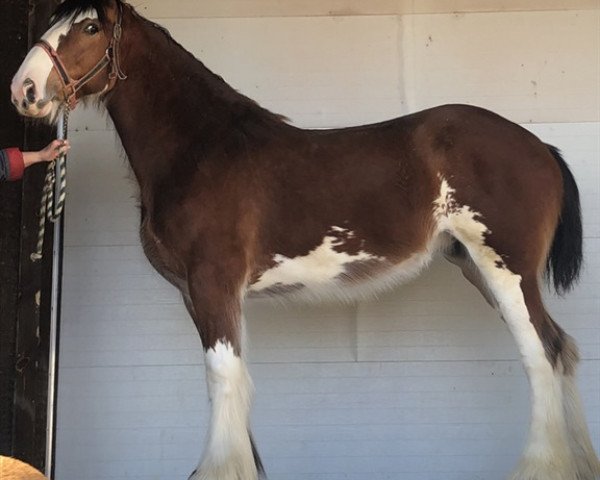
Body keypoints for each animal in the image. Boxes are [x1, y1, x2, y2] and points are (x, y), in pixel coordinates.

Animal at [9, 0, 600, 480]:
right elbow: (229, 384)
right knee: (559, 347)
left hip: (505, 266)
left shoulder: (213, 284)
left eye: (88, 27)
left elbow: (224, 378)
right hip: (477, 266)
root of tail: (540, 147)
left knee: (540, 355)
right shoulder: (201, 294)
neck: (203, 149)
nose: (24, 90)